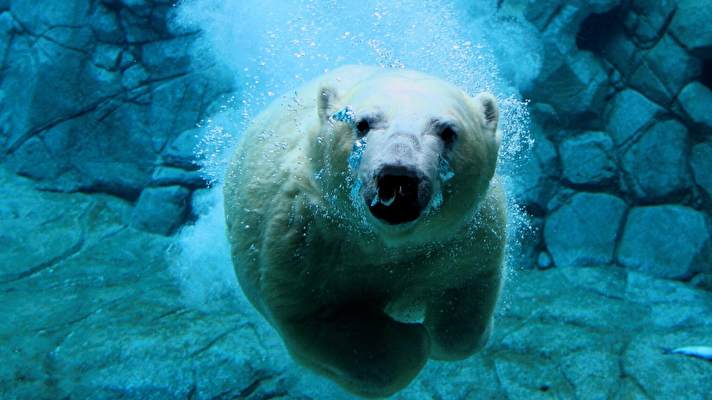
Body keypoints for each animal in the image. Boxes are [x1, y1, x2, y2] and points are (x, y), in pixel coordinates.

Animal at [224, 65, 506, 396]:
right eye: (362, 124)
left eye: (448, 131)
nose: (398, 177)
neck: (384, 242)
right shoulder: (304, 239)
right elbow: (320, 320)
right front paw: (413, 340)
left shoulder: (465, 237)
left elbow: (465, 296)